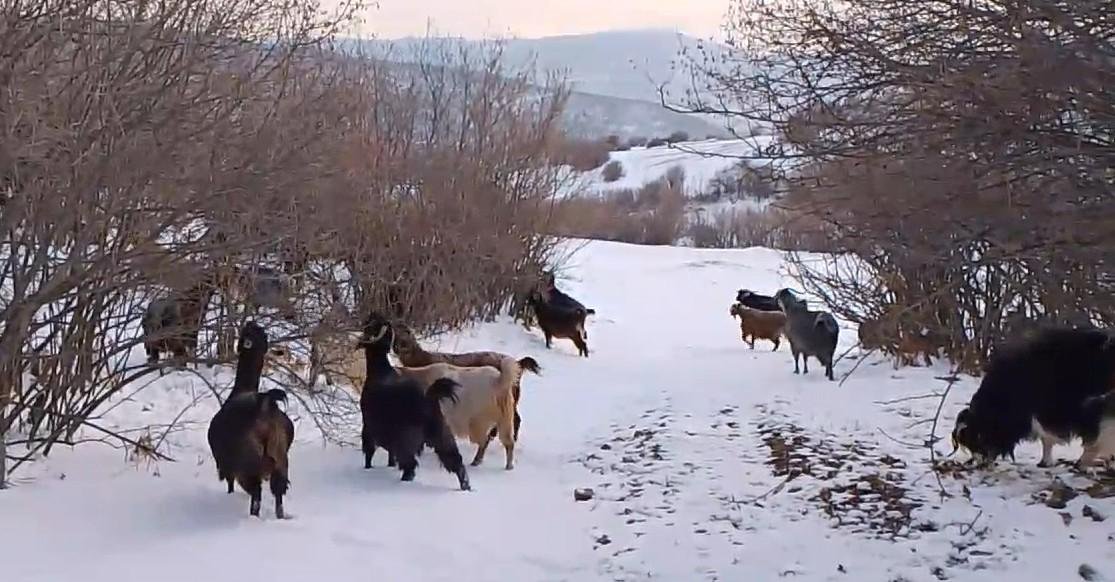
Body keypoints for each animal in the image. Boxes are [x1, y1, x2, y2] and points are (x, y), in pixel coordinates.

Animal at [205, 321, 292, 517]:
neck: (242, 389)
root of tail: (265, 406)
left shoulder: (228, 467)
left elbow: (229, 484)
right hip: (280, 459)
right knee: (278, 492)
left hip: (247, 464)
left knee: (256, 494)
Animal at [359, 312, 468, 488]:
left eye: (373, 326)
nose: (373, 315)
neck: (381, 371)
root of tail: (427, 398)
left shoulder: (369, 427)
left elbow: (369, 452)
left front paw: (368, 468)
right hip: (442, 434)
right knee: (455, 461)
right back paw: (465, 485)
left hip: (407, 439)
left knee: (410, 465)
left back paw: (404, 480)